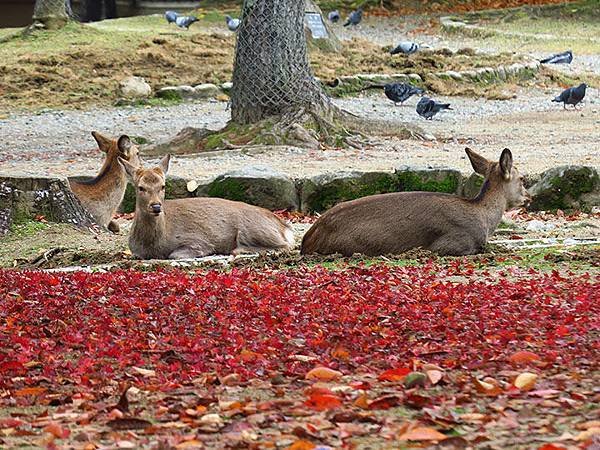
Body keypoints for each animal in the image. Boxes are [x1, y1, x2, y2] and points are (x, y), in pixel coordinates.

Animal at [118, 155, 294, 260]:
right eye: (140, 187)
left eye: (163, 186)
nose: (156, 206)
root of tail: (284, 226)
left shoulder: (198, 240)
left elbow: (175, 255)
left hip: (252, 229)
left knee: (285, 245)